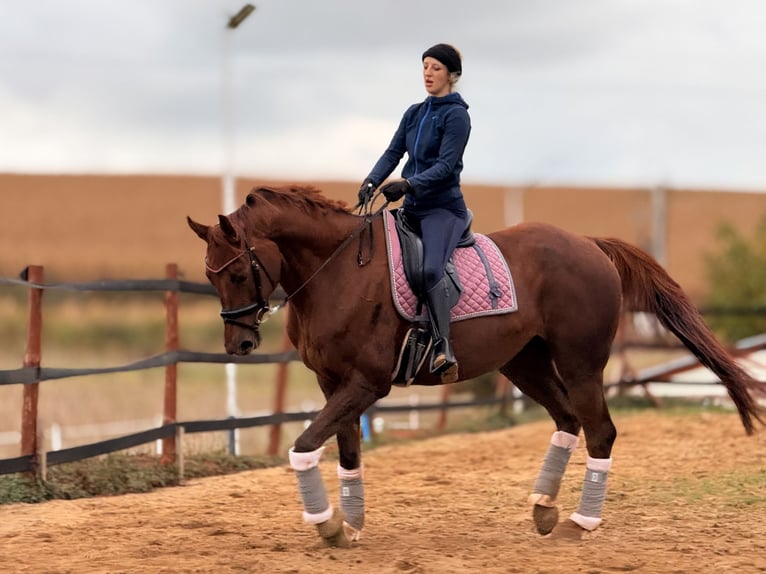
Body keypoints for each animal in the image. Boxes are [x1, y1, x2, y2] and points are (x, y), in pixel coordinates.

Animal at [187, 184, 765, 546]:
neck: (337, 272)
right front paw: (347, 527)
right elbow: (346, 452)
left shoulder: (367, 384)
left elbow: (304, 445)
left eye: (235, 272)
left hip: (580, 364)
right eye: (210, 275)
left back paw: (581, 522)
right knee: (568, 420)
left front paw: (326, 524)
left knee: (600, 430)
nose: (239, 344)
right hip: (524, 364)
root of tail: (588, 244)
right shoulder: (334, 384)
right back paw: (544, 508)